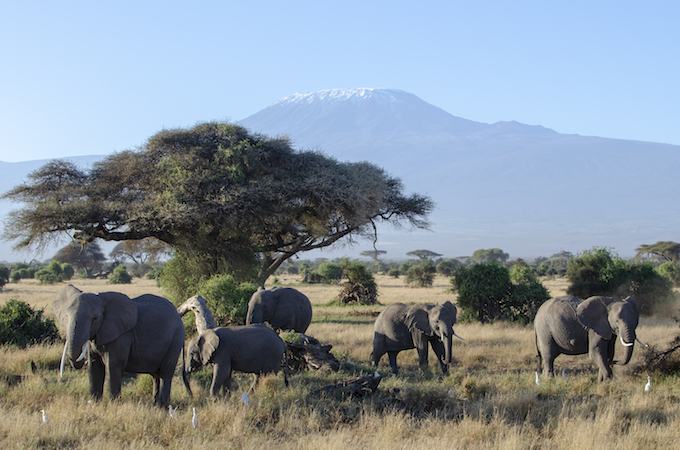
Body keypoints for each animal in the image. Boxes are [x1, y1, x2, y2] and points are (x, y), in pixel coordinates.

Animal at [53, 284, 189, 408]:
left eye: (95, 319)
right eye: (66, 317)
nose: (80, 362)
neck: (102, 300)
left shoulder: (121, 337)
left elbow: (113, 366)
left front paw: (113, 405)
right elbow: (94, 367)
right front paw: (95, 404)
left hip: (175, 338)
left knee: (166, 372)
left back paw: (162, 405)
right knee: (156, 375)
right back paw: (155, 404)